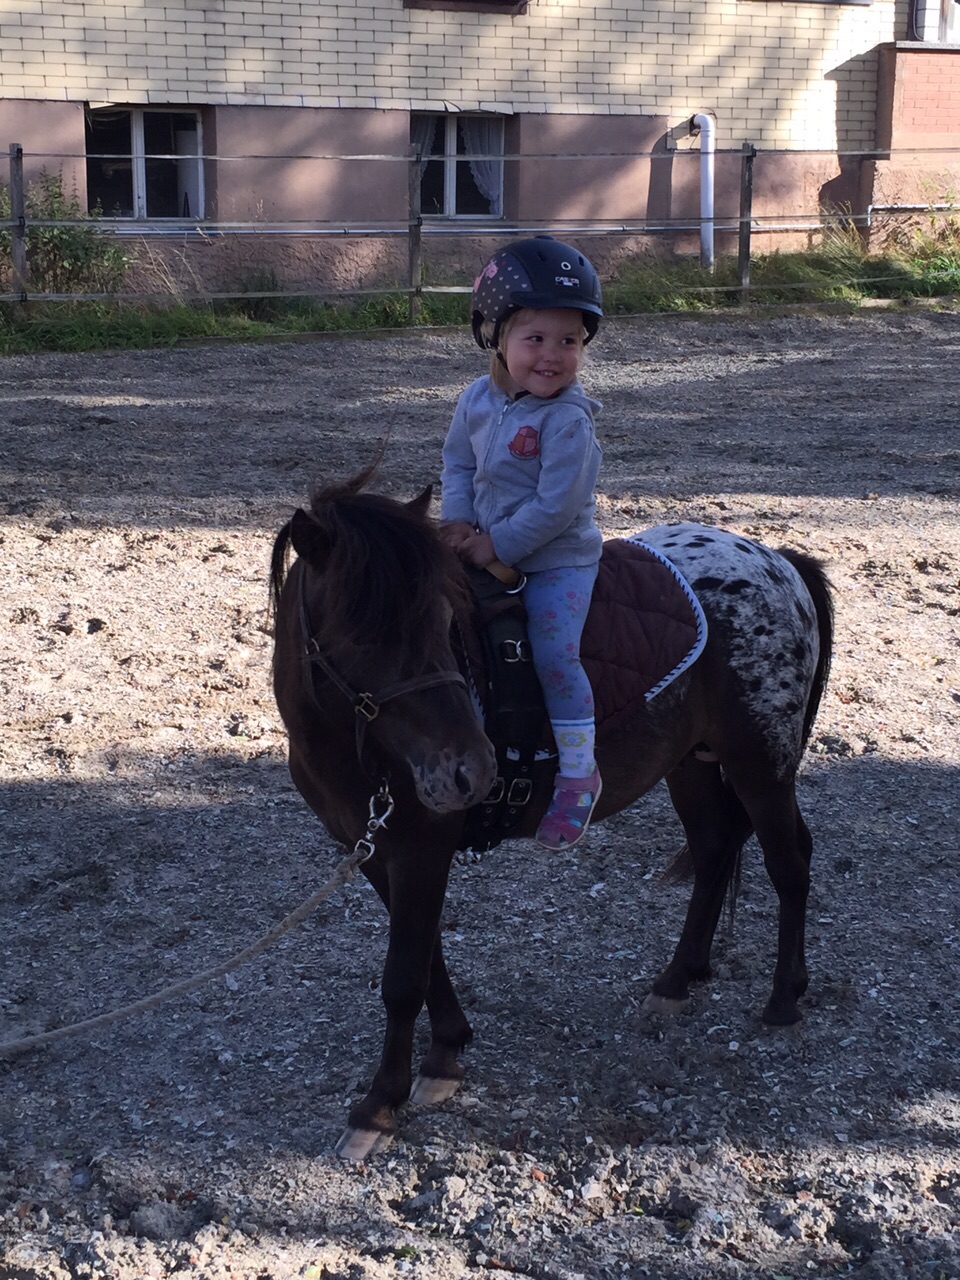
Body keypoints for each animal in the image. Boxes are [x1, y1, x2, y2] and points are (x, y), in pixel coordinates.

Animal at [269, 468, 834, 1160]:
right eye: (363, 635)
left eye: (443, 620)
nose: (471, 769)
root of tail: (775, 561)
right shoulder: (370, 846)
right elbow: (426, 954)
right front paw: (446, 1053)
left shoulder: (421, 847)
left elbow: (403, 975)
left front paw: (379, 1105)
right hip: (690, 761)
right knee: (713, 848)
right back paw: (677, 980)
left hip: (760, 763)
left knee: (789, 861)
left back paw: (783, 1000)